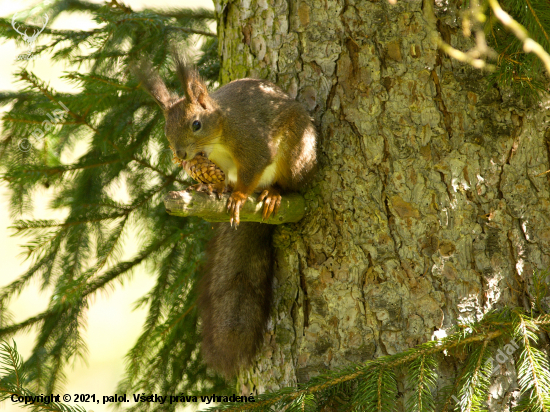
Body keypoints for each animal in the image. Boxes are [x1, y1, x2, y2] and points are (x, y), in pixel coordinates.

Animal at [135, 56, 320, 378]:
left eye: (196, 124)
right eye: (166, 129)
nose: (180, 154)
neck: (219, 136)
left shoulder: (252, 143)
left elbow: (253, 169)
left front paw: (238, 198)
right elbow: (224, 180)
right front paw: (208, 187)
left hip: (296, 156)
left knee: (285, 182)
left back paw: (273, 193)